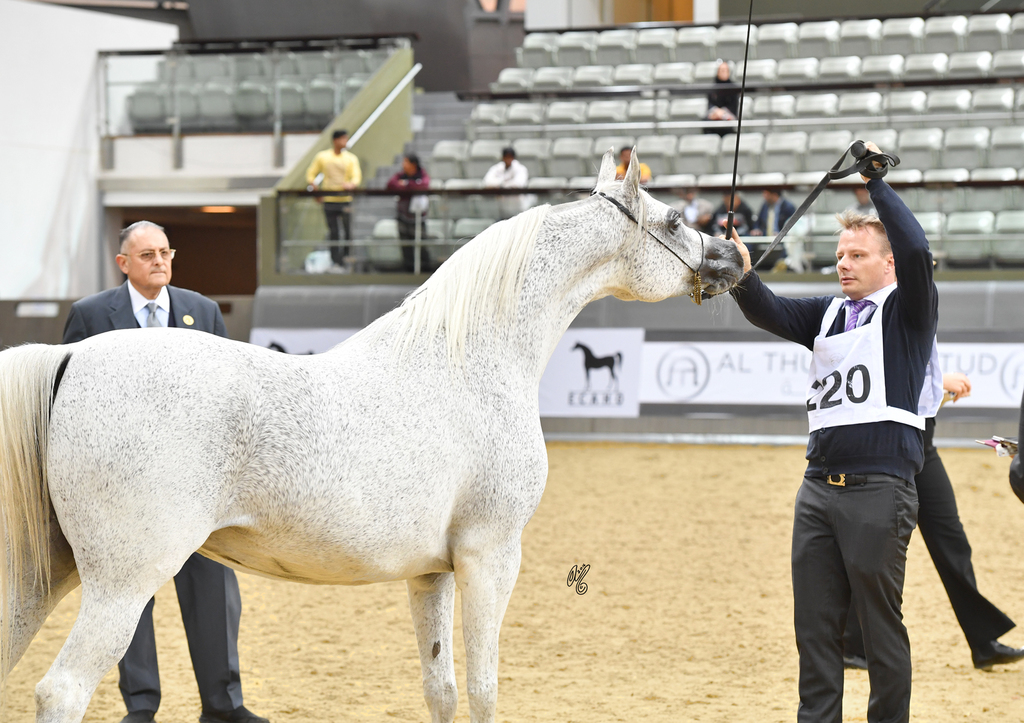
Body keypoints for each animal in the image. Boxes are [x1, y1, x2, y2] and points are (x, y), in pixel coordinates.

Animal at [0, 149, 743, 723]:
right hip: (124, 582)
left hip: (43, 576)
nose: (734, 254)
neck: (468, 358)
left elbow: (442, 689)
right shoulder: (491, 554)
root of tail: (71, 358)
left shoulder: (431, 572)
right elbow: (484, 690)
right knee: (61, 690)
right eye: (676, 219)